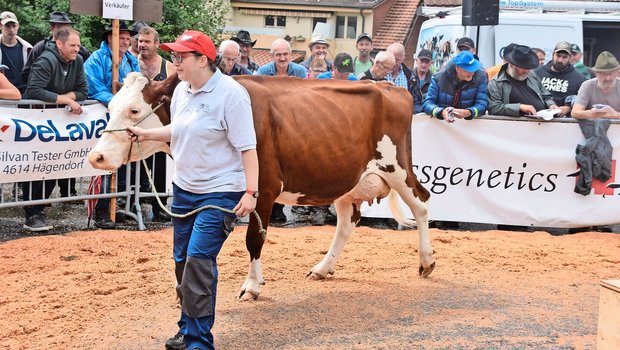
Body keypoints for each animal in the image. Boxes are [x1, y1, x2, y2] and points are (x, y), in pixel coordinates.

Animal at [88, 72, 436, 300]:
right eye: (110, 108)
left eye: (134, 109)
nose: (96, 156)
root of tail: (389, 86)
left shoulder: (264, 188)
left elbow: (254, 238)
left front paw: (252, 286)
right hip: (345, 178)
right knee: (348, 222)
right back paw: (323, 268)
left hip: (397, 166)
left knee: (421, 203)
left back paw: (426, 262)